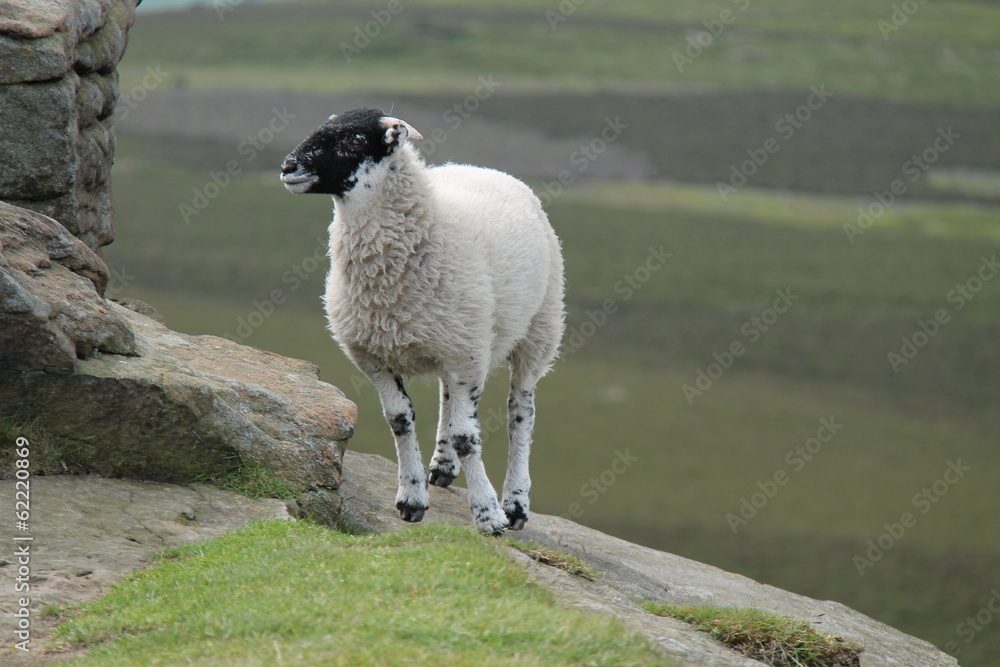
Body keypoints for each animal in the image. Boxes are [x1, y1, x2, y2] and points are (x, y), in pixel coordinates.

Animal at [280, 107, 564, 534]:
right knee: (448, 396)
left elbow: (467, 436)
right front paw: (411, 498)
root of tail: (482, 168)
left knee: (521, 411)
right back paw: (443, 466)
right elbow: (400, 420)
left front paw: (488, 514)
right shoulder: (375, 356)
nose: (288, 167)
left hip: (538, 328)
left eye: (355, 140)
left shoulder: (467, 354)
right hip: (453, 338)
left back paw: (515, 502)